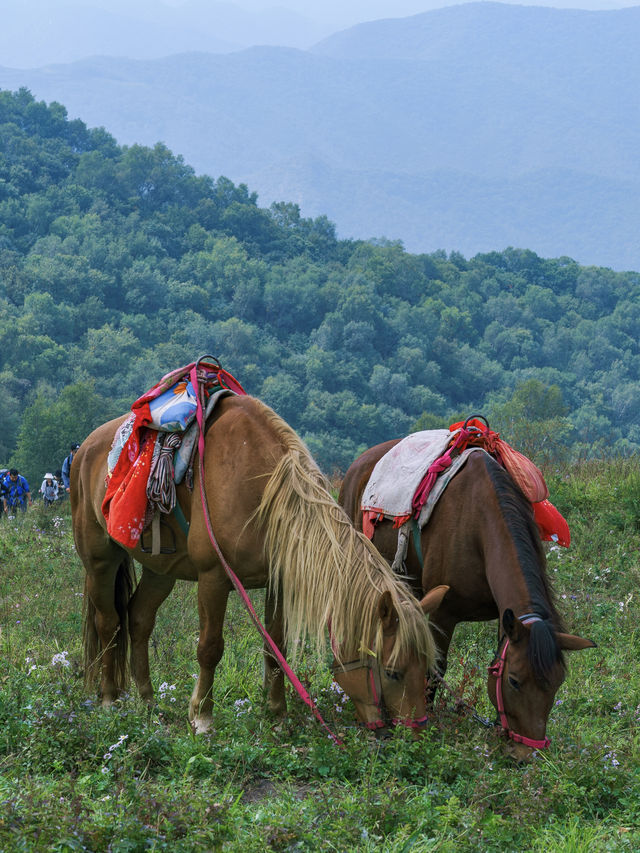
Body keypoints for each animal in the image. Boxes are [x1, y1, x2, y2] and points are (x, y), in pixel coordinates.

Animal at [71, 396, 444, 736]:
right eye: (392, 671)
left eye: (426, 665)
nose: (416, 733)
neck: (263, 492)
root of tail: (85, 447)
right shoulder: (213, 579)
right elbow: (209, 648)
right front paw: (202, 718)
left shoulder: (277, 581)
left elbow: (275, 647)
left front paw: (277, 715)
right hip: (101, 560)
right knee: (109, 622)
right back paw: (109, 698)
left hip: (161, 571)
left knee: (138, 620)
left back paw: (148, 702)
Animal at [340, 440, 596, 760]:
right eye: (514, 681)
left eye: (558, 683)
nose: (526, 755)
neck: (479, 523)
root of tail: (358, 464)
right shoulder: (443, 614)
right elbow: (435, 668)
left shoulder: (505, 618)